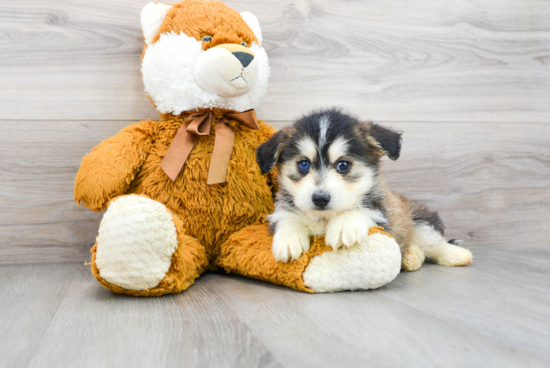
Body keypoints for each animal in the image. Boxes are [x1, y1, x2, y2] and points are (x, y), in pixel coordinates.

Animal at [256, 108, 472, 272]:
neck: (324, 219)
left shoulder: (381, 215)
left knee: (434, 244)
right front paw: (289, 239)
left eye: (343, 165)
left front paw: (344, 226)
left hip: (421, 222)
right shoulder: (282, 210)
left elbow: (362, 209)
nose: (320, 198)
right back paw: (411, 257)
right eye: (303, 164)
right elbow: (288, 218)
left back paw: (456, 255)